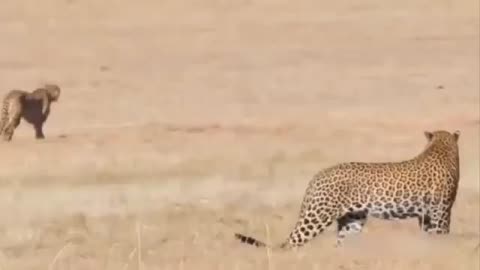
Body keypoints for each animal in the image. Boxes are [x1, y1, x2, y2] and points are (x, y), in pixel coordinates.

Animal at [236, 130, 462, 249]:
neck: (441, 146)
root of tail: (318, 176)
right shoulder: (442, 212)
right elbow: (442, 235)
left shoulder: (427, 215)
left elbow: (430, 237)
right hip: (317, 216)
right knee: (291, 243)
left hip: (352, 220)